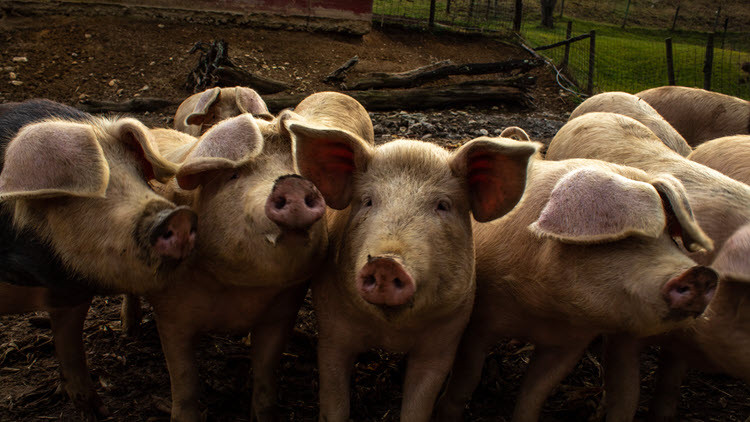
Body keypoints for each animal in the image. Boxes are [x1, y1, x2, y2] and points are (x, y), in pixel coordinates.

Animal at [0, 99, 197, 419]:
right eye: (89, 189)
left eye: (138, 177)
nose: (177, 216)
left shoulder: (72, 294)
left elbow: (71, 351)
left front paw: (97, 411)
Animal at [144, 91, 373, 422]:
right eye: (234, 175)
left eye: (299, 171)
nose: (292, 182)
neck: (236, 291)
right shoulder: (170, 313)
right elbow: (184, 382)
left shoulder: (282, 309)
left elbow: (265, 373)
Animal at [288, 115, 559, 421]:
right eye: (367, 201)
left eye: (442, 205)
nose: (386, 262)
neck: (391, 331)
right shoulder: (332, 329)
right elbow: (334, 402)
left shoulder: (445, 338)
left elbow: (419, 405)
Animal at [434, 147, 717, 422]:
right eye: (623, 239)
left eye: (671, 237)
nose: (702, 273)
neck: (542, 313)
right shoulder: (481, 321)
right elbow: (466, 380)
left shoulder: (571, 343)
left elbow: (534, 395)